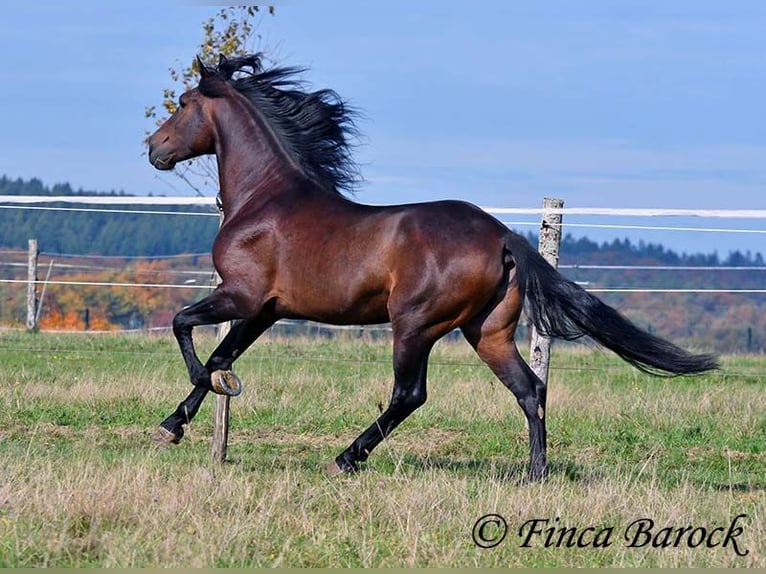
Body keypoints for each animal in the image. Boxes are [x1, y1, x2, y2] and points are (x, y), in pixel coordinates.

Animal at [147, 53, 718, 481]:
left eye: (184, 104)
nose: (153, 147)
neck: (264, 199)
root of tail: (503, 236)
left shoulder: (240, 294)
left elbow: (185, 328)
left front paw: (202, 397)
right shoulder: (265, 309)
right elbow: (221, 353)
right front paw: (173, 424)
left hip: (415, 324)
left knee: (410, 394)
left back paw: (345, 459)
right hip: (486, 331)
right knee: (530, 390)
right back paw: (535, 473)